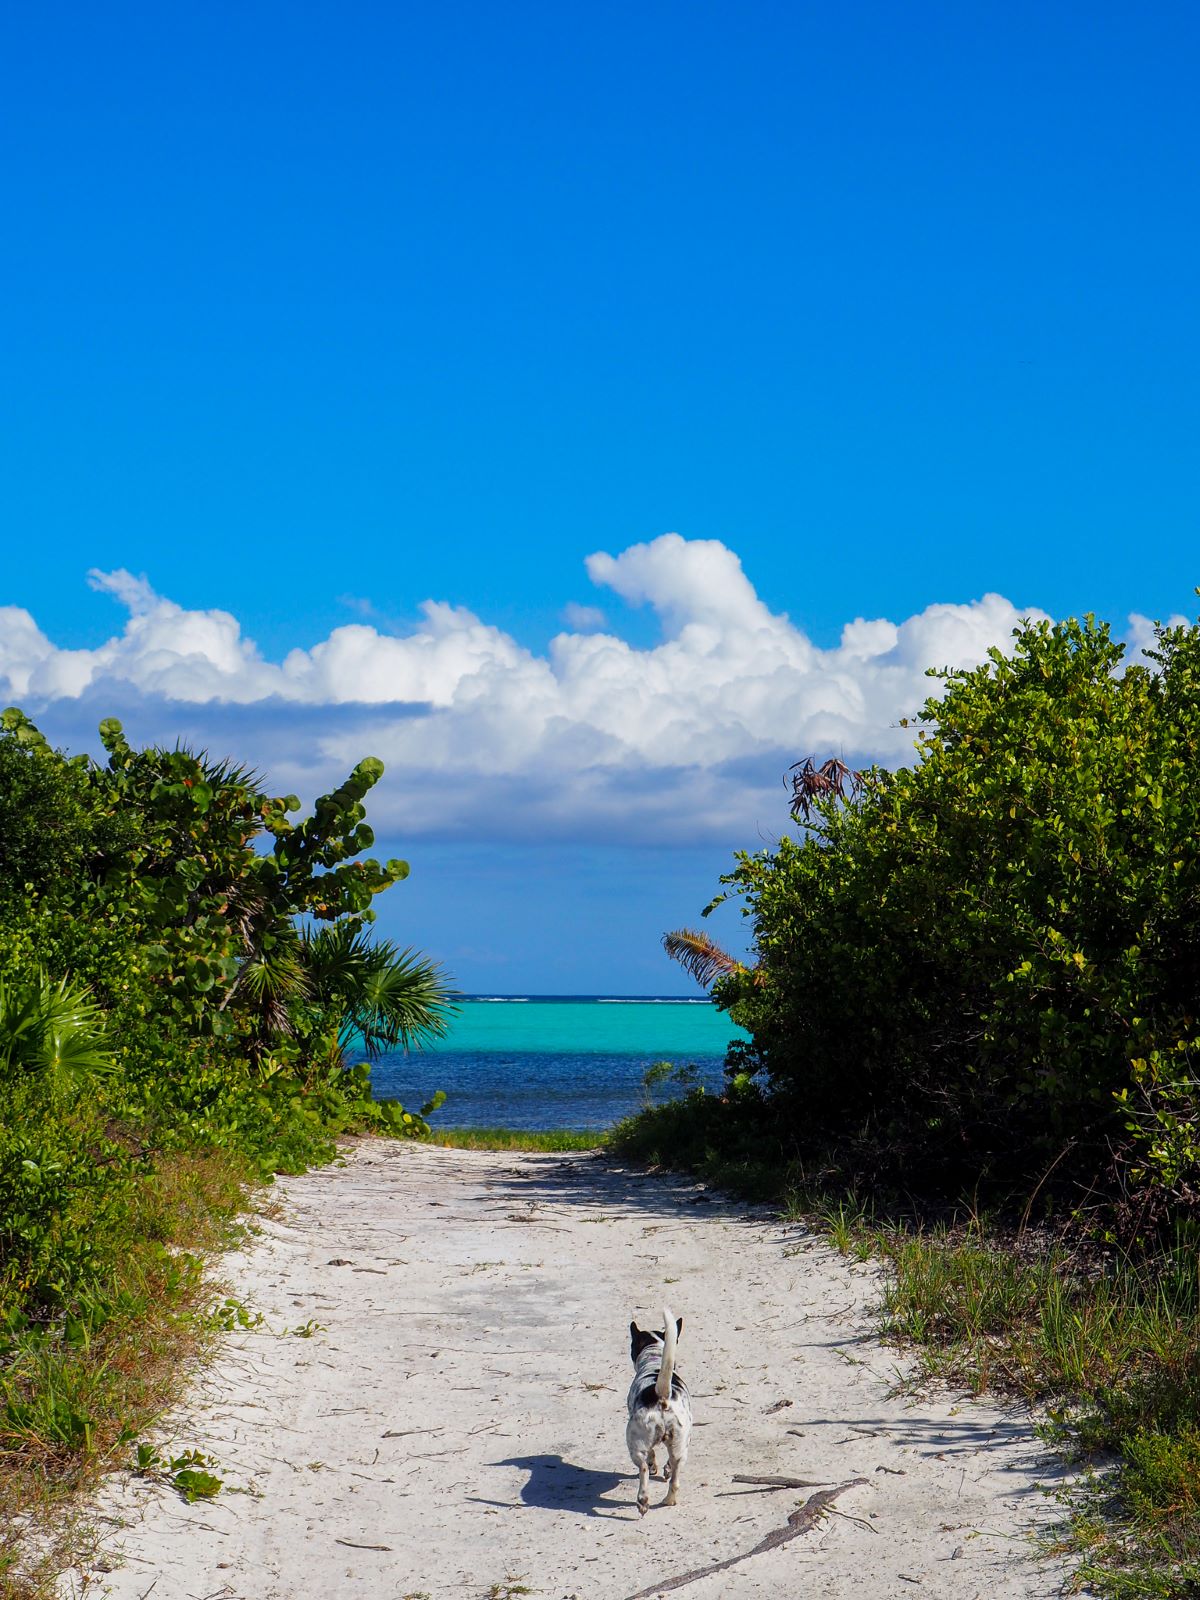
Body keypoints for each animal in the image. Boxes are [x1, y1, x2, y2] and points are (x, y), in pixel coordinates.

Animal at [630, 1305, 694, 1516]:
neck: (655, 1361)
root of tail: (662, 1397)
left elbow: (651, 1455)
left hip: (635, 1444)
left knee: (643, 1467)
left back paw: (643, 1500)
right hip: (681, 1446)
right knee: (675, 1478)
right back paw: (668, 1500)